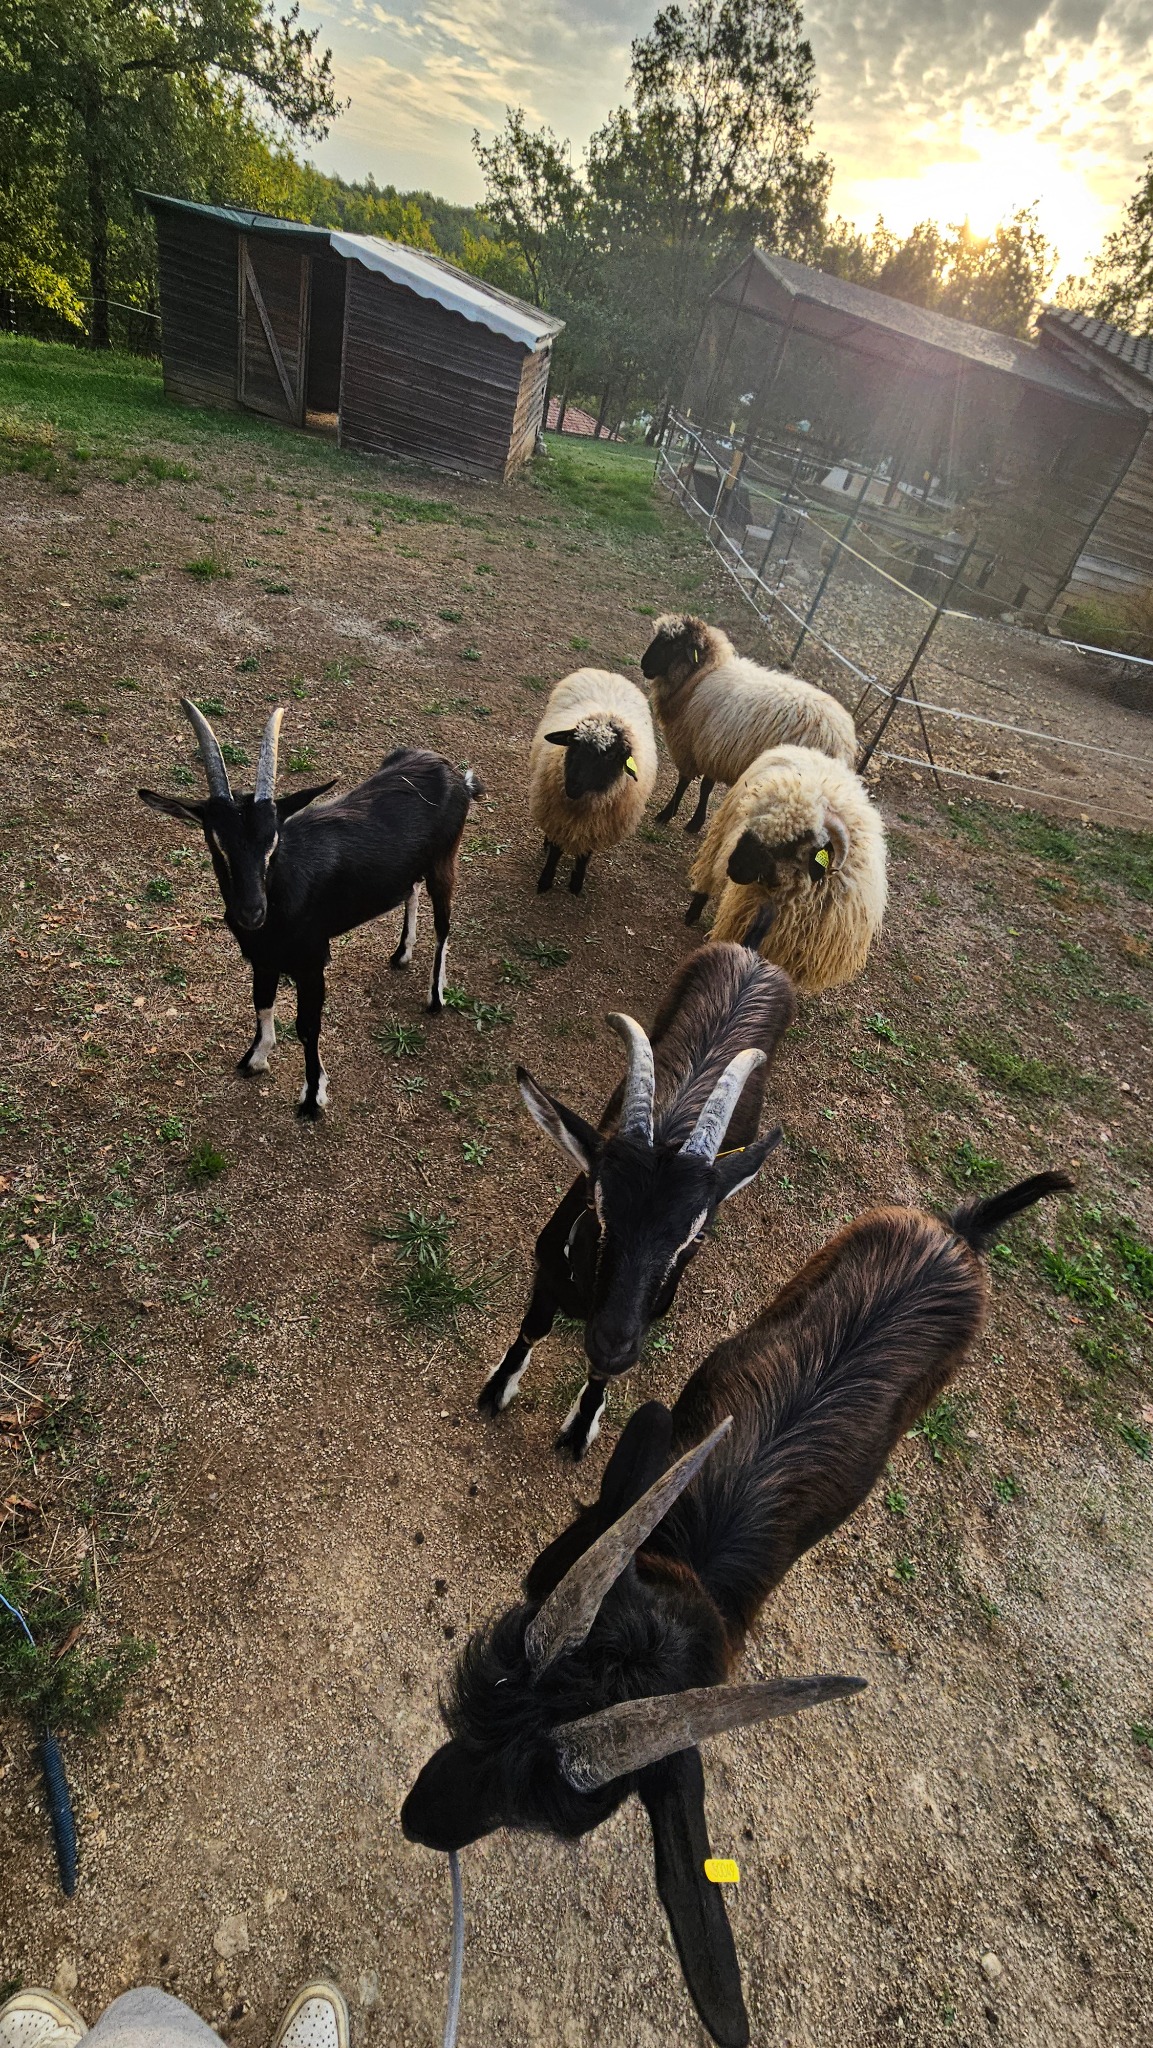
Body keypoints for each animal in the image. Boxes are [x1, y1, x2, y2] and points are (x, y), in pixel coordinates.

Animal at [139, 700, 483, 1117]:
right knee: (410, 889)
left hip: (445, 859)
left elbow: (307, 1025)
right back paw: (402, 953)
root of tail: (454, 774)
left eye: (273, 840)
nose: (251, 912)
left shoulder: (312, 960)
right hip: (414, 865)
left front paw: (312, 1096)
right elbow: (261, 1002)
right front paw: (255, 1058)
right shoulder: (262, 958)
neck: (280, 895)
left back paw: (435, 997)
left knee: (444, 923)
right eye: (216, 844)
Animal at [478, 942, 795, 1457]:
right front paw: (498, 1387)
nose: (612, 1343)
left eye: (697, 1237)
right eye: (595, 1207)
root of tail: (755, 955)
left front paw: (581, 1426)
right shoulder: (547, 1266)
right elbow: (533, 1328)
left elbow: (598, 1375)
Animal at [528, 669, 656, 892]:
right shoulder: (558, 816)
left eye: (611, 756)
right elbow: (555, 851)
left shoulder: (596, 825)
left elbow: (585, 855)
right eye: (573, 744)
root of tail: (609, 673)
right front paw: (545, 881)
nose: (572, 785)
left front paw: (576, 884)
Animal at [640, 613, 857, 833]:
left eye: (675, 645)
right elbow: (706, 787)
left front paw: (667, 814)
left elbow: (684, 782)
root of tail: (842, 742)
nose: (644, 665)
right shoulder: (715, 749)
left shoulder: (691, 745)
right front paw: (697, 821)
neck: (700, 676)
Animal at [685, 742, 887, 994]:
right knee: (709, 871)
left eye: (792, 843)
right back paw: (693, 911)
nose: (734, 868)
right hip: (721, 833)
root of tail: (811, 751)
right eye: (752, 822)